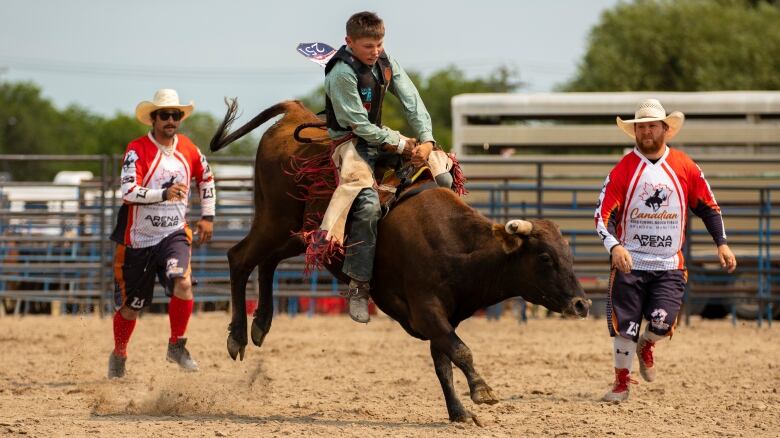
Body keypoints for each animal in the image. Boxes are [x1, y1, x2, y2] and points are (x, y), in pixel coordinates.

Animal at [210, 99, 588, 424]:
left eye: (568, 254)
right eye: (544, 256)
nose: (581, 304)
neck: (458, 244)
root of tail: (295, 113)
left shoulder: (443, 316)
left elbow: (444, 361)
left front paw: (458, 412)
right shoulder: (427, 309)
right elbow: (460, 351)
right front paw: (482, 391)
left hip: (297, 234)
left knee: (267, 263)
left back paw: (261, 324)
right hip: (274, 219)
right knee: (239, 258)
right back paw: (237, 337)